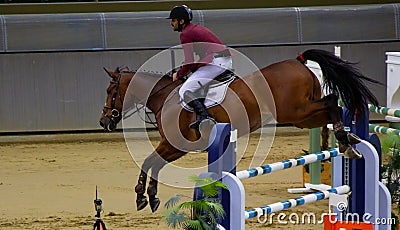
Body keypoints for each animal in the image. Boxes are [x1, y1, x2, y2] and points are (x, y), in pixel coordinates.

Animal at [99, 49, 378, 213]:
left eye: (111, 91)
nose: (103, 122)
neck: (164, 98)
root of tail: (297, 62)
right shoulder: (177, 147)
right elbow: (153, 163)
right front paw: (149, 197)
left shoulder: (174, 144)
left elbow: (149, 162)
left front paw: (143, 196)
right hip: (301, 116)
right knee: (331, 108)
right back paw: (348, 142)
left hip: (295, 111)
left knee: (332, 103)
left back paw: (345, 138)